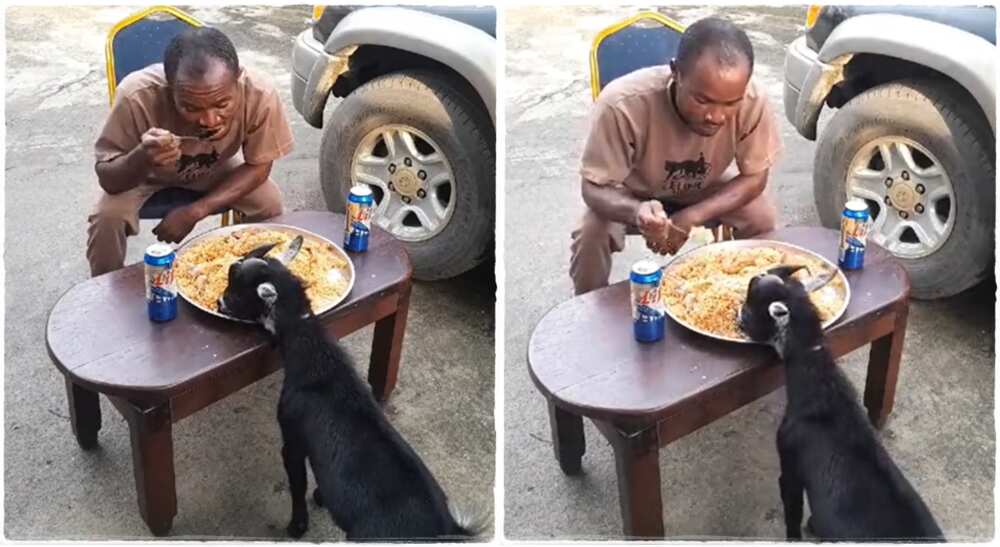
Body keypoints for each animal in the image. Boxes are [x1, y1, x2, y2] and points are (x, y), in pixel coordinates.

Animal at [220, 238, 484, 540]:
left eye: (235, 292)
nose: (219, 302)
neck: (316, 359)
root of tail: (445, 527)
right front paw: (321, 496)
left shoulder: (292, 437)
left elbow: (297, 485)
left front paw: (298, 525)